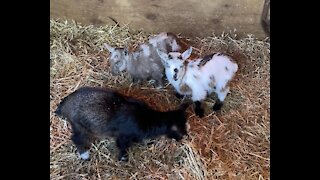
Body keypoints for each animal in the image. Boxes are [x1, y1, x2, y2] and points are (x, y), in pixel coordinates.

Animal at [54, 86, 190, 161]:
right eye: (179, 131)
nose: (185, 136)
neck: (147, 118)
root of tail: (64, 106)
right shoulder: (123, 136)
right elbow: (122, 146)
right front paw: (123, 158)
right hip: (80, 125)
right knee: (77, 138)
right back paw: (85, 155)